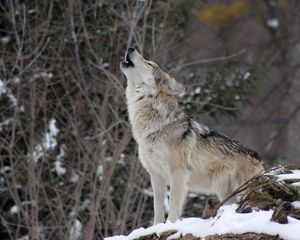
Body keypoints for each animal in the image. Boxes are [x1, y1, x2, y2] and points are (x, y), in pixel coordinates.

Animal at [119, 47, 262, 224]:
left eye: (149, 63)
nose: (130, 48)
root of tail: (256, 155)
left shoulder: (178, 173)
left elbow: (173, 207)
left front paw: (171, 225)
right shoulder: (156, 176)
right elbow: (157, 209)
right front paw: (157, 226)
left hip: (241, 191)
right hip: (227, 195)